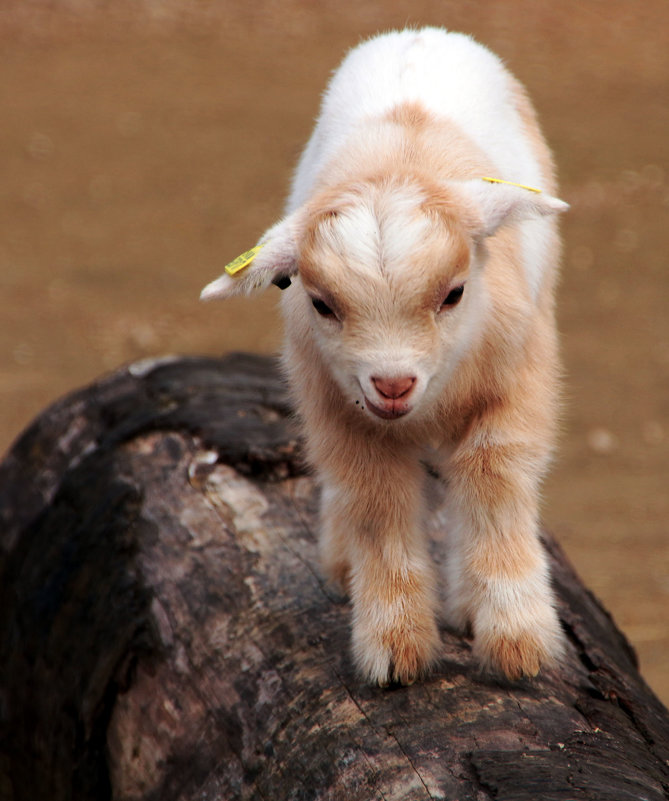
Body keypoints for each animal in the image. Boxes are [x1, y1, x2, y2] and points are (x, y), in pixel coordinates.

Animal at [201, 28, 568, 684]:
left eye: (454, 293)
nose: (392, 385)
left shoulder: (515, 385)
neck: (402, 162)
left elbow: (495, 483)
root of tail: (421, 32)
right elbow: (377, 505)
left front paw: (518, 645)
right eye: (320, 304)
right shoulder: (342, 417)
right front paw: (395, 653)